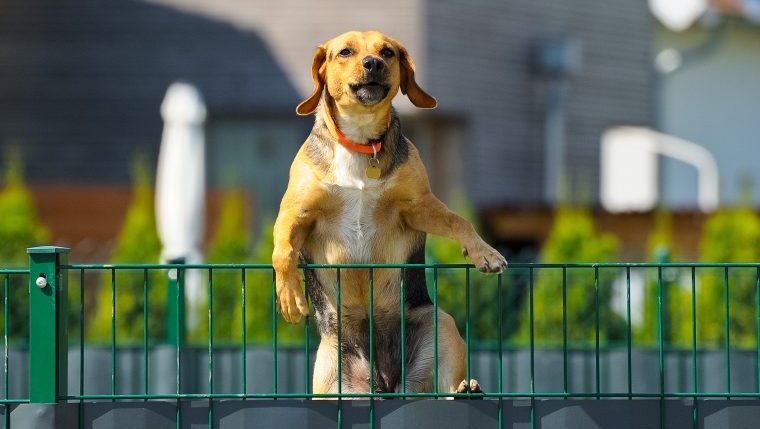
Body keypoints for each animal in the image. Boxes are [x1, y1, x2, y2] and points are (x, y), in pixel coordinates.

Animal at [270, 31, 508, 396]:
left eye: (388, 52)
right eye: (345, 52)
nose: (374, 63)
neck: (360, 139)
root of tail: (384, 382)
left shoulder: (418, 206)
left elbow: (459, 220)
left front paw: (485, 252)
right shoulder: (294, 214)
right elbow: (282, 252)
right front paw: (289, 296)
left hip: (440, 326)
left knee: (441, 387)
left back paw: (466, 389)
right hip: (328, 372)